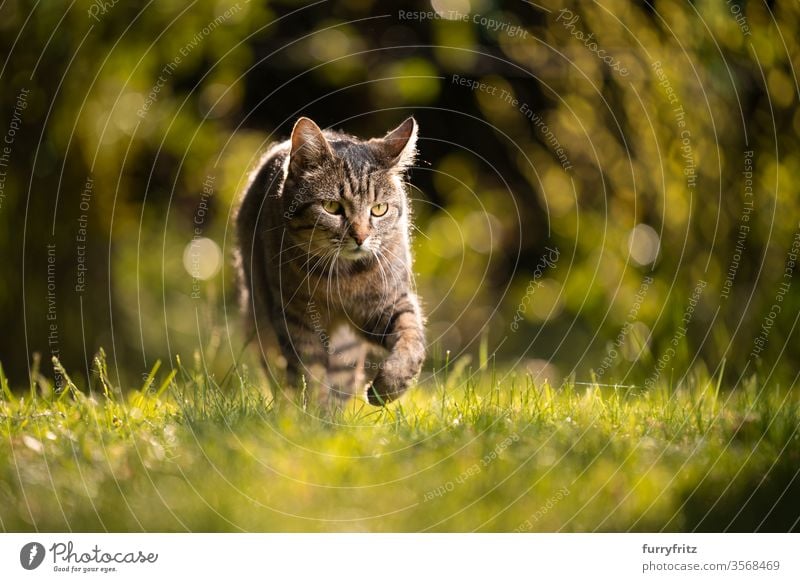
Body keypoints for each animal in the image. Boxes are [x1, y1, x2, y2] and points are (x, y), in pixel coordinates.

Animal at [236, 117, 428, 410]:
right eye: (331, 207)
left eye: (379, 209)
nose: (360, 237)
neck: (344, 276)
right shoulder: (295, 317)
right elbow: (308, 374)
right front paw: (310, 414)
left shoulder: (388, 303)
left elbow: (411, 340)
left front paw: (390, 386)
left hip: (345, 347)